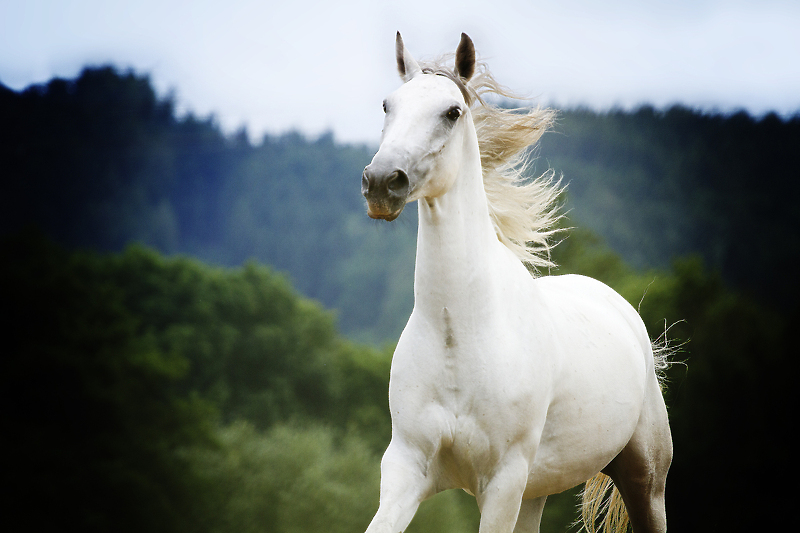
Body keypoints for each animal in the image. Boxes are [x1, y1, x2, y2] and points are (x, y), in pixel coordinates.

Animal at [360, 33, 672, 532]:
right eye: (388, 104)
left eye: (453, 112)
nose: (381, 183)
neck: (460, 337)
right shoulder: (406, 470)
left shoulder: (503, 482)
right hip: (535, 491)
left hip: (645, 479)